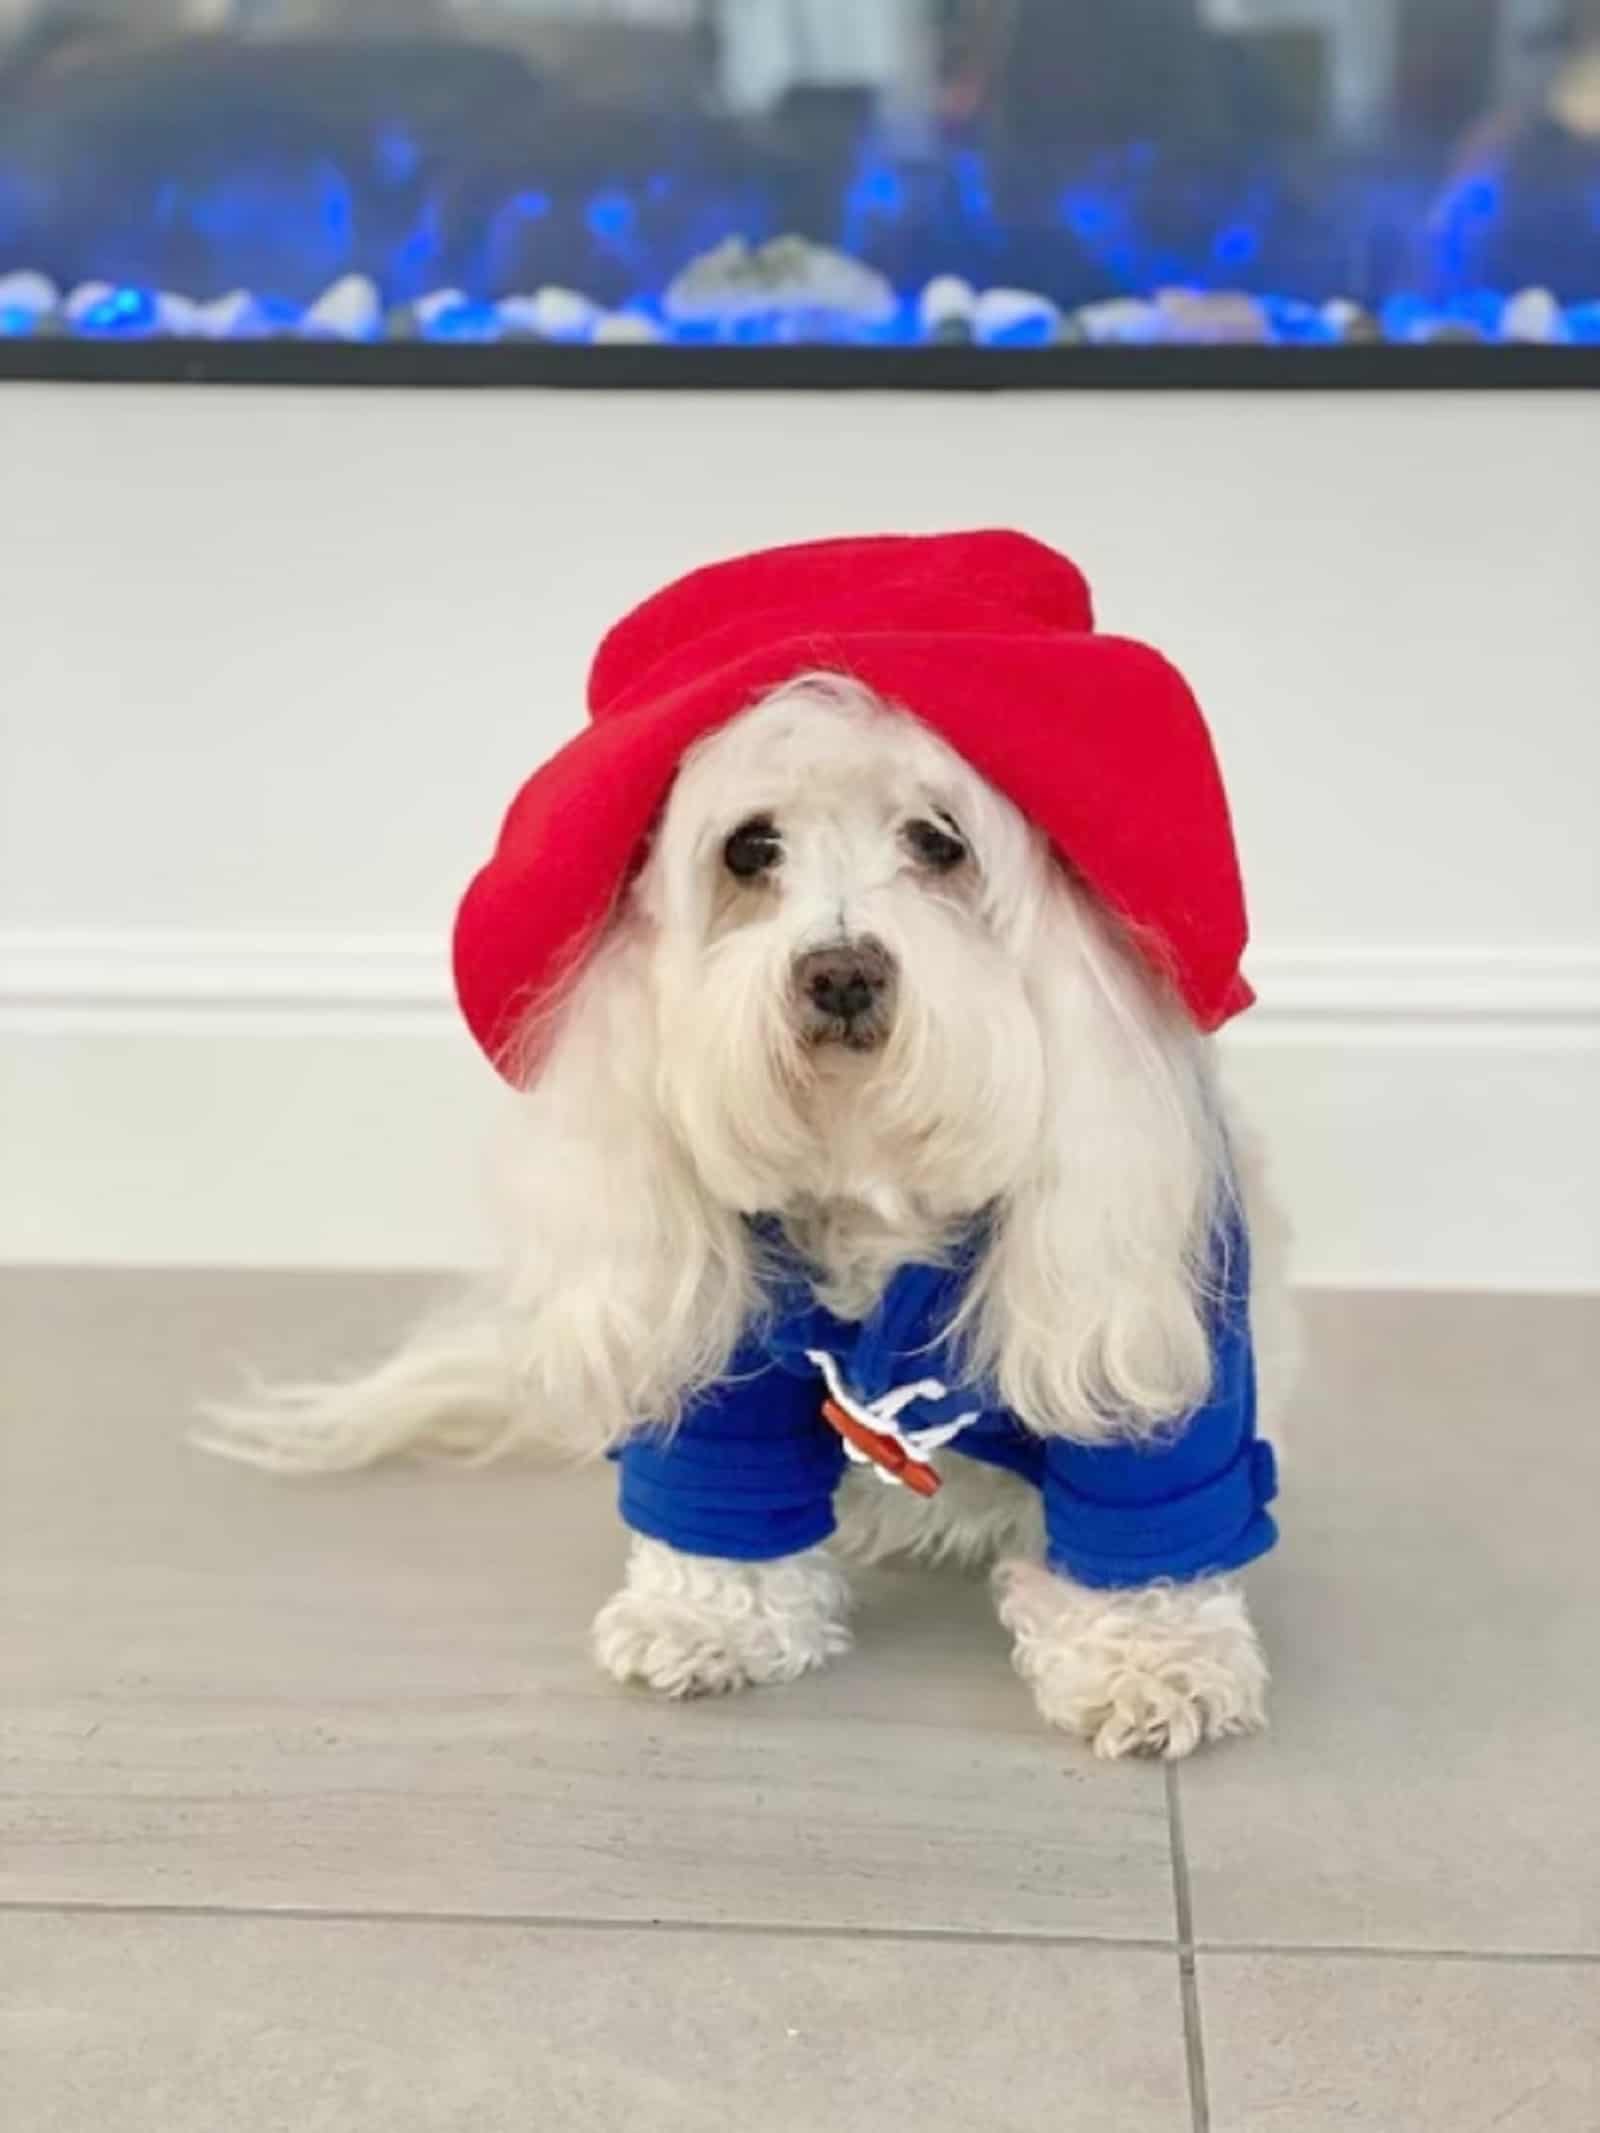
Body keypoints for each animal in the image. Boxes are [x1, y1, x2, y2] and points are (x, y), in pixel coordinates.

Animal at [210, 652, 1288, 1766]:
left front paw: (1152, 1658)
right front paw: (708, 1616)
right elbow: (716, 1484)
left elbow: (1151, 1505)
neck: (867, 1161)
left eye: (939, 841)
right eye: (749, 849)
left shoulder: (1155, 1324)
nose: (841, 972)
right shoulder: (718, 1338)